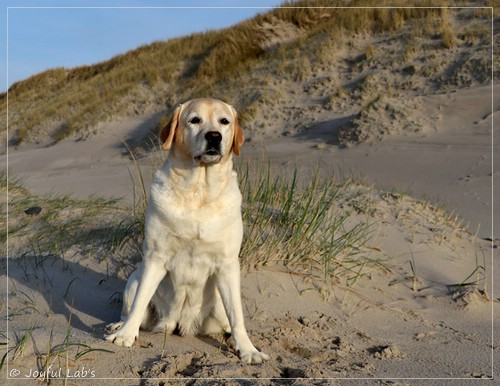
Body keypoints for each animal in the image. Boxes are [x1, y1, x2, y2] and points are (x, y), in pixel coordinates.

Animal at [105, 98, 270, 364]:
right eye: (194, 120)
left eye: (224, 121)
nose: (214, 137)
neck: (199, 191)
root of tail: (179, 324)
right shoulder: (155, 257)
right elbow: (141, 301)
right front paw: (125, 336)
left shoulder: (227, 264)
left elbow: (238, 317)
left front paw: (248, 349)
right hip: (133, 280)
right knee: (132, 307)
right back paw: (119, 326)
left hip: (220, 301)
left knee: (230, 320)